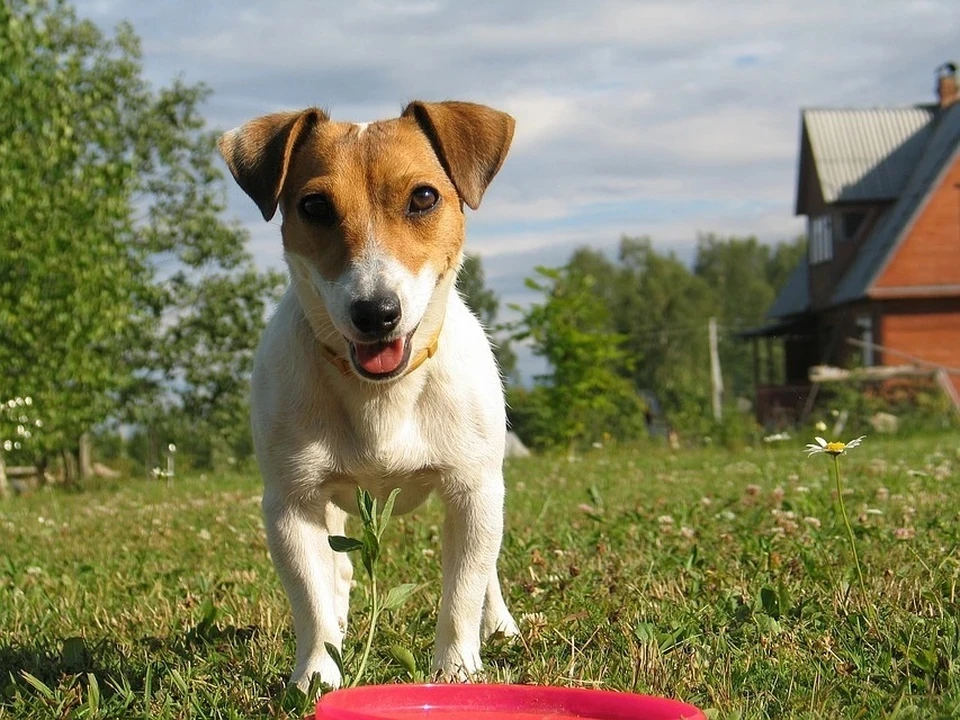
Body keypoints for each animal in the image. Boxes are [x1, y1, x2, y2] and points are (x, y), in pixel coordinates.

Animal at [218, 102, 516, 692]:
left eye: (423, 197)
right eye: (314, 206)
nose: (376, 312)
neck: (382, 396)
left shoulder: (473, 491)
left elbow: (463, 591)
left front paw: (456, 670)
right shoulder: (291, 504)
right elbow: (309, 598)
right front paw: (315, 675)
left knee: (488, 573)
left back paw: (500, 624)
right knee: (337, 569)